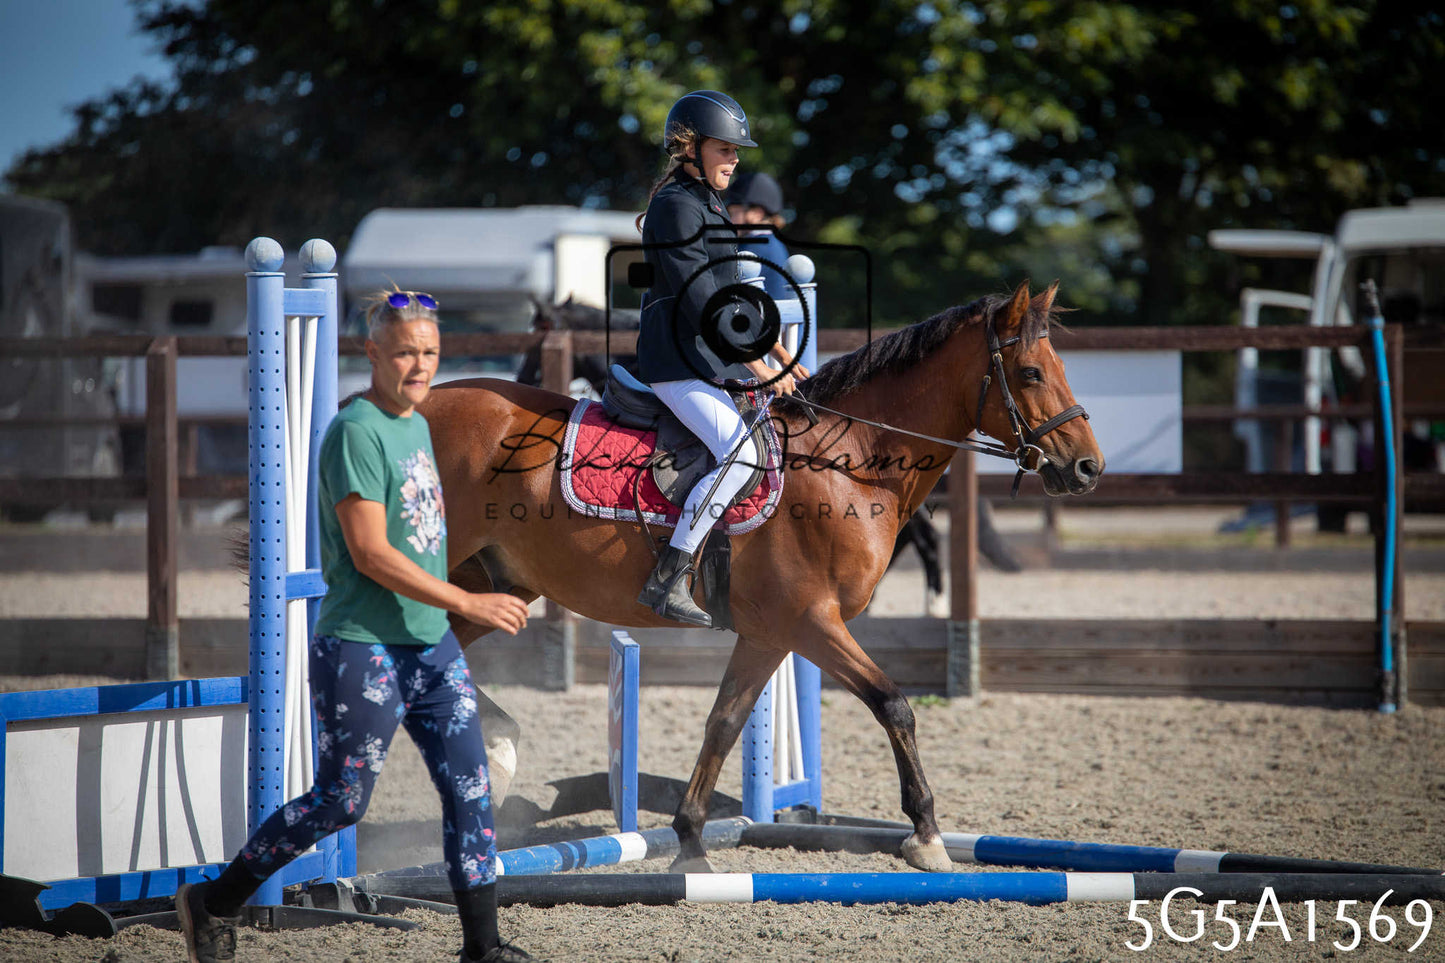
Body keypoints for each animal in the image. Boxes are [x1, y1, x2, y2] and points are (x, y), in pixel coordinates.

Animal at [421, 279, 1103, 872]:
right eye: (1032, 373)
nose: (1088, 468)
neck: (850, 463)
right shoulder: (812, 623)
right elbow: (893, 704)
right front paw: (927, 835)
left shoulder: (770, 634)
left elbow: (724, 723)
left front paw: (690, 842)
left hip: (496, 584)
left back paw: (496, 751)